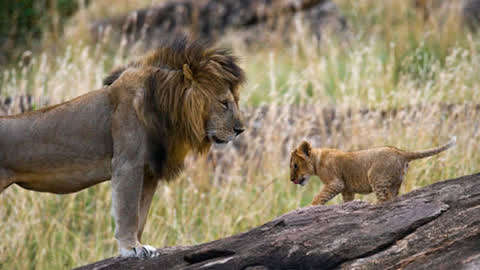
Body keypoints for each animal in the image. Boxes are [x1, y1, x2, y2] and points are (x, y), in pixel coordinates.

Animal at [0, 36, 246, 258]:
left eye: (235, 101)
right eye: (224, 103)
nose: (240, 130)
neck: (166, 111)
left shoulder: (149, 172)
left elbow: (141, 213)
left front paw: (139, 245)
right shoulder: (127, 164)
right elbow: (128, 211)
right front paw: (132, 248)